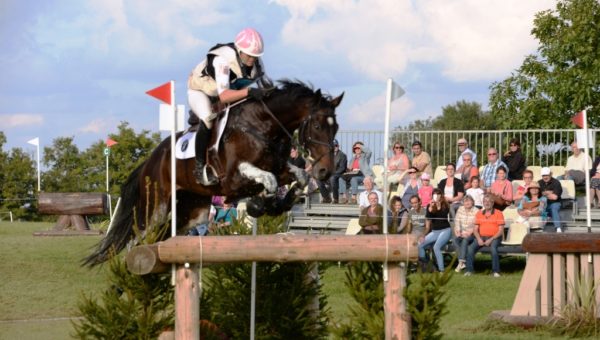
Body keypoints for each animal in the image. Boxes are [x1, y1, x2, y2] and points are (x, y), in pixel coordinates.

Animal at [84, 79, 342, 266]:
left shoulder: (279, 167)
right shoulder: (233, 178)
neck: (262, 126)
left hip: (191, 211)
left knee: (161, 235)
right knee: (139, 237)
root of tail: (148, 162)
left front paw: (279, 203)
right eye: (317, 125)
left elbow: (300, 176)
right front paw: (259, 204)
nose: (325, 171)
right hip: (155, 207)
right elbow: (266, 180)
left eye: (336, 127)